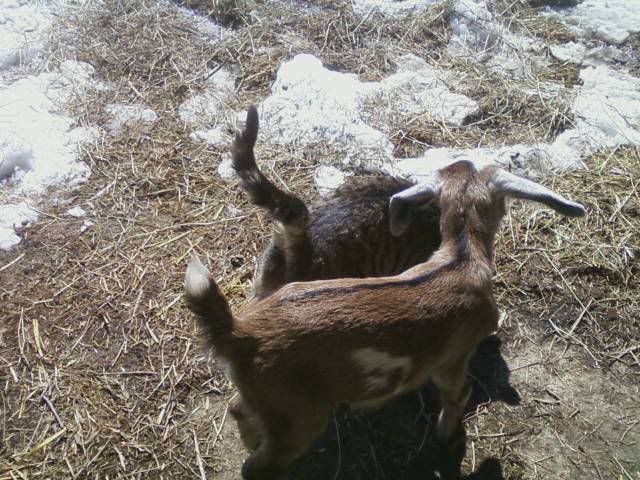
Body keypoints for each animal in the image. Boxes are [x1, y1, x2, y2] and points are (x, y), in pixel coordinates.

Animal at [185, 160, 585, 480]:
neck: (461, 257)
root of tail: (238, 333)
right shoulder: (453, 358)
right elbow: (458, 394)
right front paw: (447, 438)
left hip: (272, 403)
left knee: (238, 410)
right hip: (300, 417)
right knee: (256, 467)